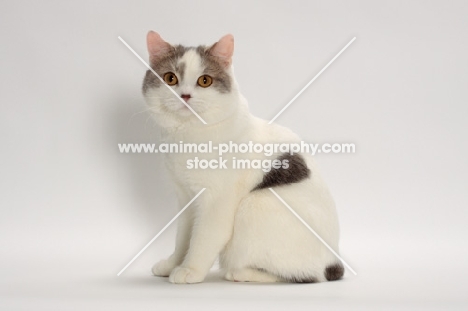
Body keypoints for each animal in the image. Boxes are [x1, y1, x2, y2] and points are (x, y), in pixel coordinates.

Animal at [143, 31, 344, 286]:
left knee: (305, 275)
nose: (185, 95)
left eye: (204, 81)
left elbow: (202, 239)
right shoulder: (186, 199)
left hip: (255, 204)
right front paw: (172, 264)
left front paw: (190, 270)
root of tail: (335, 260)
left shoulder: (216, 202)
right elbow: (183, 239)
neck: (188, 135)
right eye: (170, 78)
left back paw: (240, 273)